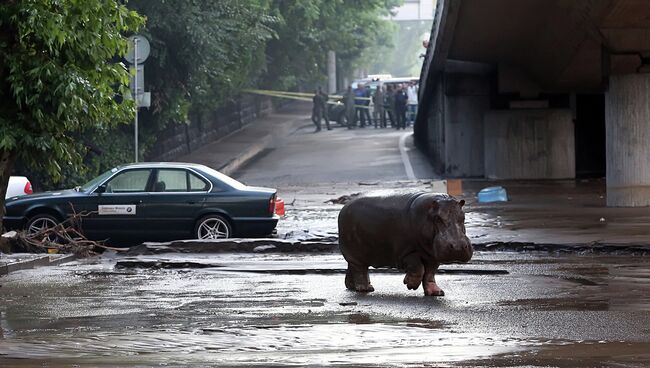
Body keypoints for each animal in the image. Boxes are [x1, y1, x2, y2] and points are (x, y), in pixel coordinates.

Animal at [334, 193, 470, 296]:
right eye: (437, 218)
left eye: (463, 217)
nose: (457, 247)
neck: (427, 213)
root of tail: (344, 208)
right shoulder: (408, 252)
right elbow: (418, 268)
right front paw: (410, 285)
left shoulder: (432, 255)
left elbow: (430, 274)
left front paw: (437, 293)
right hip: (356, 255)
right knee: (360, 271)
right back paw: (366, 289)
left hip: (357, 256)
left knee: (353, 269)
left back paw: (352, 287)